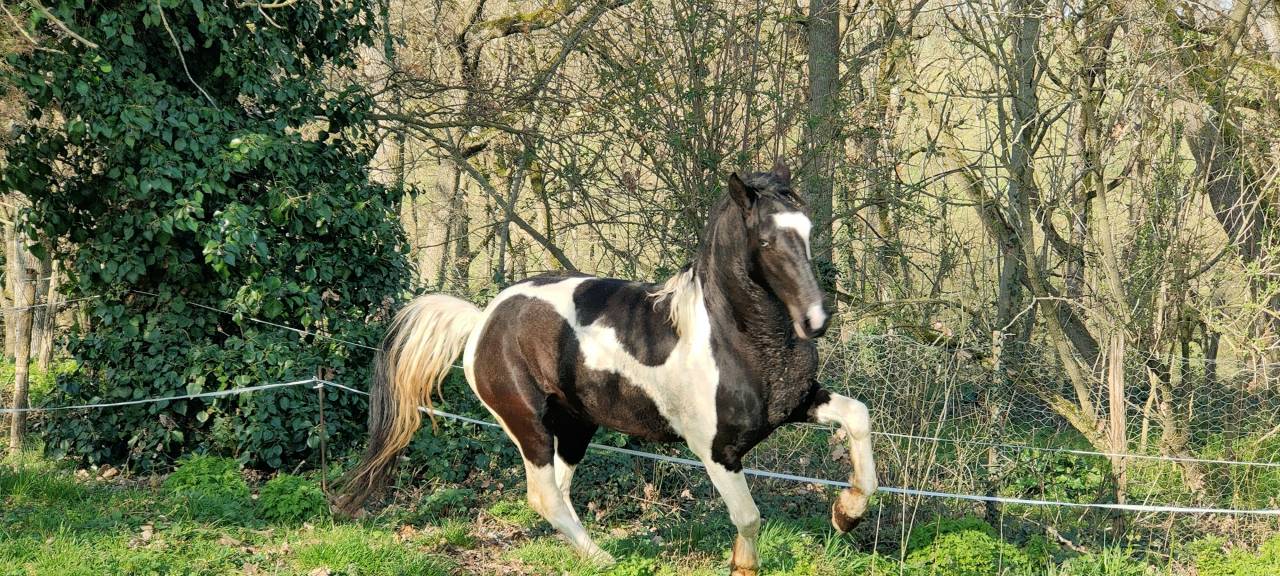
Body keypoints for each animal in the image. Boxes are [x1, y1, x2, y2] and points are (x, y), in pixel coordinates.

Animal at [336, 164, 878, 576]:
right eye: (766, 241)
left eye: (807, 231)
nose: (816, 320)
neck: (733, 339)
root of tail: (483, 319)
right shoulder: (717, 451)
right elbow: (747, 516)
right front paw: (744, 565)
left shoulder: (797, 403)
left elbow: (858, 416)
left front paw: (846, 514)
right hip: (529, 424)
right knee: (543, 495)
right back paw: (602, 558)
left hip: (576, 425)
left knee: (560, 489)